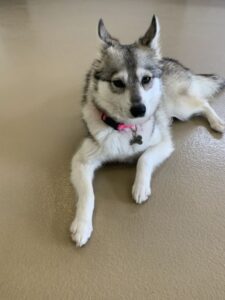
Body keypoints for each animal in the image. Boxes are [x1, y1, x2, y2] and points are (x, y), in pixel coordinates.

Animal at [70, 15, 225, 247]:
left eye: (146, 80)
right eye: (118, 83)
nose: (139, 109)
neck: (126, 127)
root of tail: (168, 61)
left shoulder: (164, 143)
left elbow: (144, 159)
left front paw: (140, 186)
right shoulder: (81, 162)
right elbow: (88, 195)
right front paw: (82, 225)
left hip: (180, 107)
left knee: (203, 103)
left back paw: (217, 122)